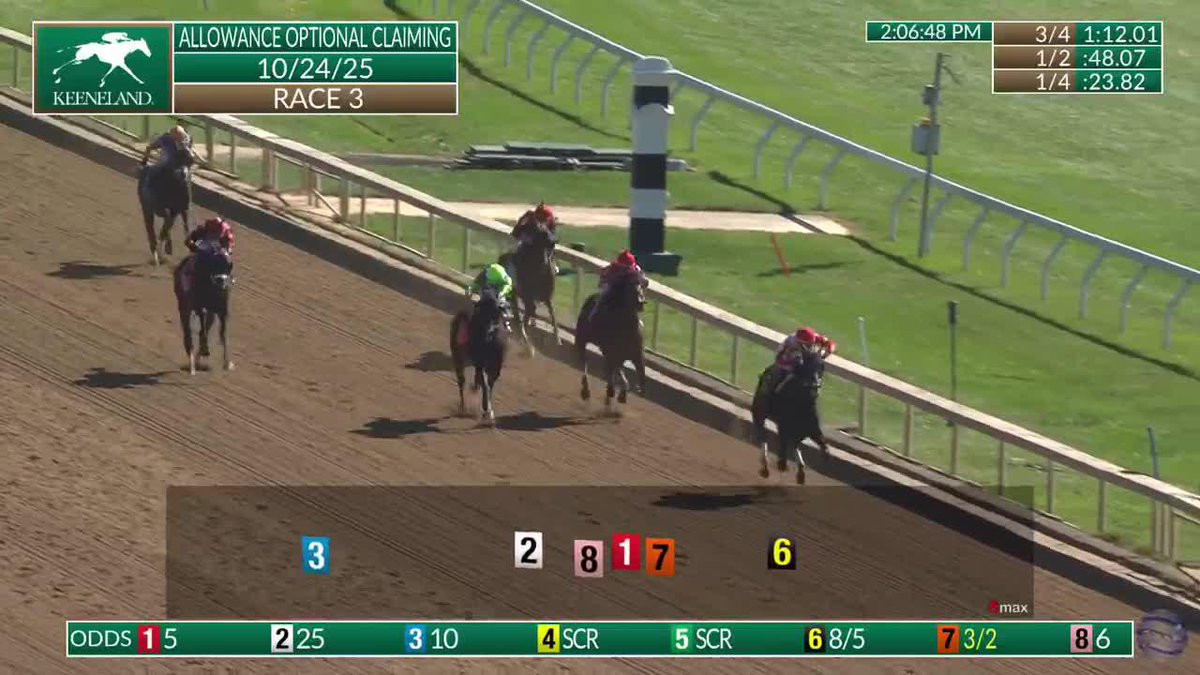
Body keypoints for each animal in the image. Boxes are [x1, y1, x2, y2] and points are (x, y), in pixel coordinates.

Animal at [172, 246, 233, 375]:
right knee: (187, 331)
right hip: (183, 304)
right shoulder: (199, 306)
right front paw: (205, 350)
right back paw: (191, 362)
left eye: (228, 266)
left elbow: (223, 333)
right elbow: (202, 329)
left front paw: (227, 363)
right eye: (214, 266)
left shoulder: (221, 310)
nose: (223, 286)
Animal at [450, 287, 509, 424]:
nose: (489, 332)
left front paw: (488, 411)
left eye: (496, 313)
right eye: (481, 312)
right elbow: (485, 383)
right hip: (458, 356)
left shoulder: (496, 365)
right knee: (462, 381)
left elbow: (489, 383)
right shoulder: (480, 362)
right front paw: (486, 411)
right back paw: (463, 407)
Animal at [500, 224, 561, 355]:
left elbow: (553, 315)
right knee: (518, 318)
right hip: (514, 294)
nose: (545, 262)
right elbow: (526, 318)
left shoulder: (547, 297)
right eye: (540, 236)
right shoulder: (528, 297)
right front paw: (528, 347)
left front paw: (557, 339)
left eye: (552, 244)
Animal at [574, 271, 647, 412]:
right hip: (581, 339)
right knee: (584, 363)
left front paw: (636, 390)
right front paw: (613, 392)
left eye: (643, 284)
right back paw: (586, 391)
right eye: (631, 284)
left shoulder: (636, 354)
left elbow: (640, 373)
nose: (641, 302)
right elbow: (613, 375)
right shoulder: (612, 353)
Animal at [750, 350, 830, 484]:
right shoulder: (784, 425)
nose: (815, 386)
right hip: (759, 411)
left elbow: (823, 446)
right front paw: (782, 464)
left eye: (821, 367)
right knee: (762, 435)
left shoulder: (810, 429)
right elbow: (784, 447)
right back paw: (765, 467)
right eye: (807, 366)